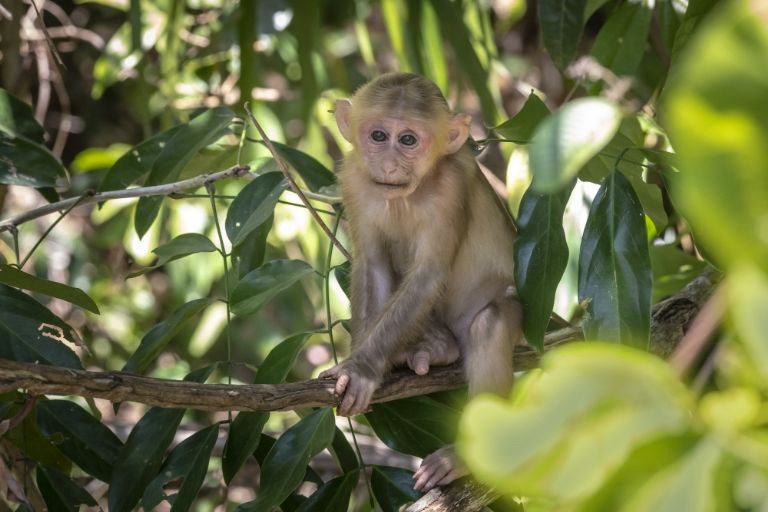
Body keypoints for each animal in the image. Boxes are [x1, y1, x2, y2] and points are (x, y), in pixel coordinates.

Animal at [320, 72, 523, 492]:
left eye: (409, 140)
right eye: (378, 135)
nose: (389, 162)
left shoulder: (451, 187)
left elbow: (429, 275)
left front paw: (362, 369)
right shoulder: (354, 179)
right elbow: (373, 264)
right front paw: (365, 362)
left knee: (489, 324)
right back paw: (438, 346)